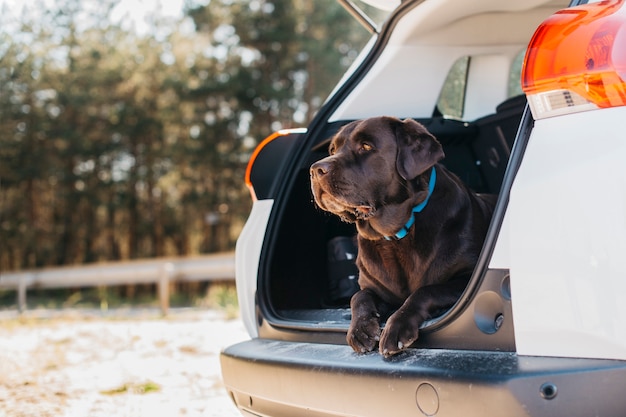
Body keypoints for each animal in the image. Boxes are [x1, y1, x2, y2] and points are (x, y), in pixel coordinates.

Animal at [308, 115, 492, 356]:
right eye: (333, 149)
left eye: (366, 146)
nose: (315, 169)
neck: (396, 235)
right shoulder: (374, 287)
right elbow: (359, 296)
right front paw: (360, 329)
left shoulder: (467, 278)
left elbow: (425, 290)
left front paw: (396, 328)